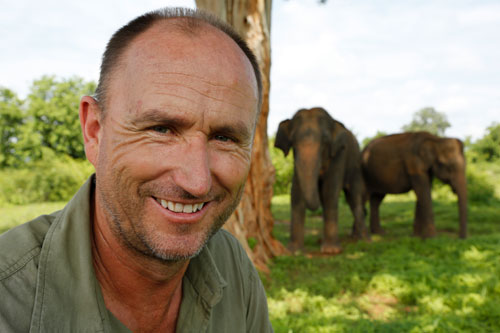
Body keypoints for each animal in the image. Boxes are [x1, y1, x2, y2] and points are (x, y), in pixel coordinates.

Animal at [276, 107, 370, 254]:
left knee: (354, 197)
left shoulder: (339, 155)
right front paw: (293, 250)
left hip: (355, 165)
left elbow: (330, 192)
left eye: (325, 142)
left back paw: (365, 240)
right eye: (293, 142)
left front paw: (331, 251)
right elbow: (296, 194)